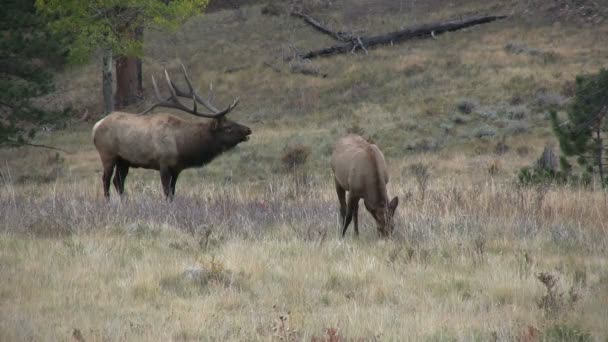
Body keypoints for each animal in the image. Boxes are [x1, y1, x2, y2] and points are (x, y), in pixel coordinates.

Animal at [91, 63, 252, 200]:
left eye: (232, 121)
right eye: (228, 127)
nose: (248, 129)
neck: (182, 146)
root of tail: (96, 126)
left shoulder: (177, 168)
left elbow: (173, 193)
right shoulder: (163, 164)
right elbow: (167, 192)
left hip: (124, 160)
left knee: (118, 181)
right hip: (107, 154)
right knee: (106, 179)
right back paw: (108, 202)